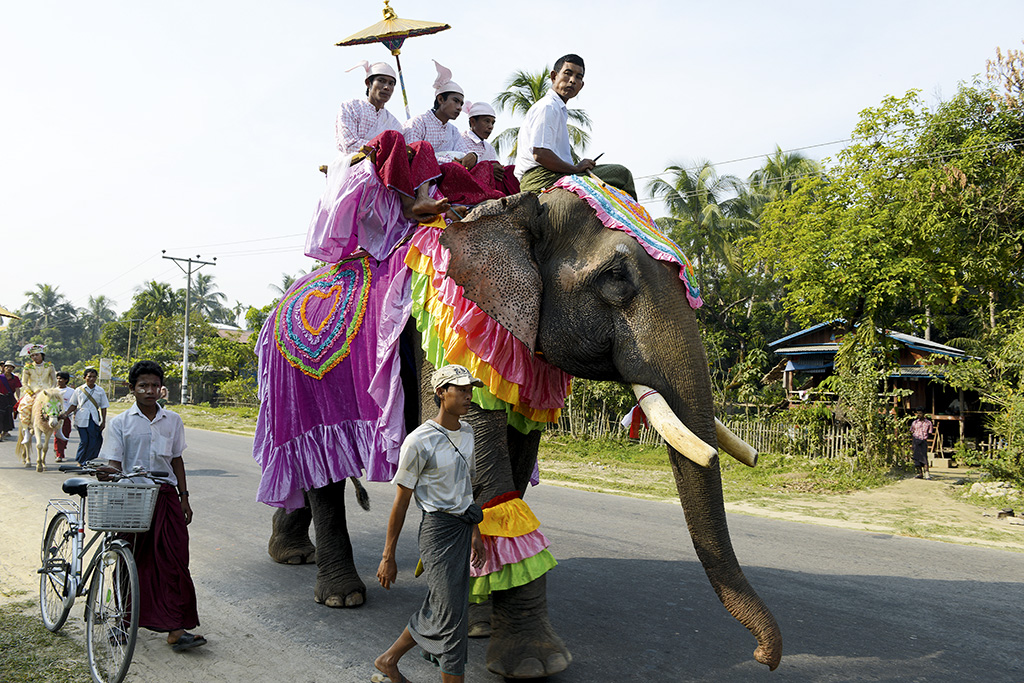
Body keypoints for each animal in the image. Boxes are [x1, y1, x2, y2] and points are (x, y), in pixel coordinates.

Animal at [256, 174, 782, 675]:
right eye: (615, 277)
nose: (763, 657)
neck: (518, 210)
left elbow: (516, 458)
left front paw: (481, 623)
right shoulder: (448, 329)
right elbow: (486, 469)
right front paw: (533, 662)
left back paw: (292, 555)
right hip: (298, 384)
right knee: (320, 471)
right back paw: (341, 596)